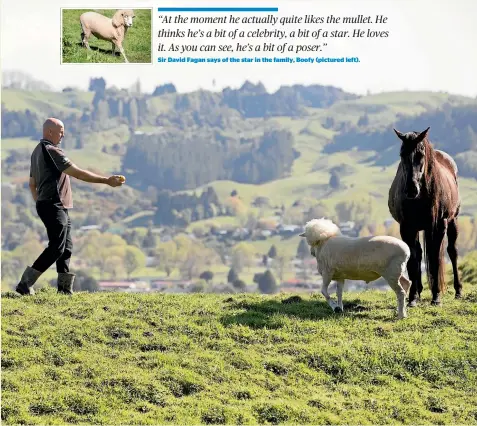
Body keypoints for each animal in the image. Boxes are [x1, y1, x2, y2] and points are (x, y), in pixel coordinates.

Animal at [386, 126, 462, 306]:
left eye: (420, 154)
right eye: (402, 154)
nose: (411, 189)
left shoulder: (438, 226)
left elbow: (434, 258)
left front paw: (436, 297)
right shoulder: (407, 227)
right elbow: (413, 259)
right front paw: (413, 297)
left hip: (453, 221)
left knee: (452, 251)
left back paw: (458, 291)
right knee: (419, 253)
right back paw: (419, 290)